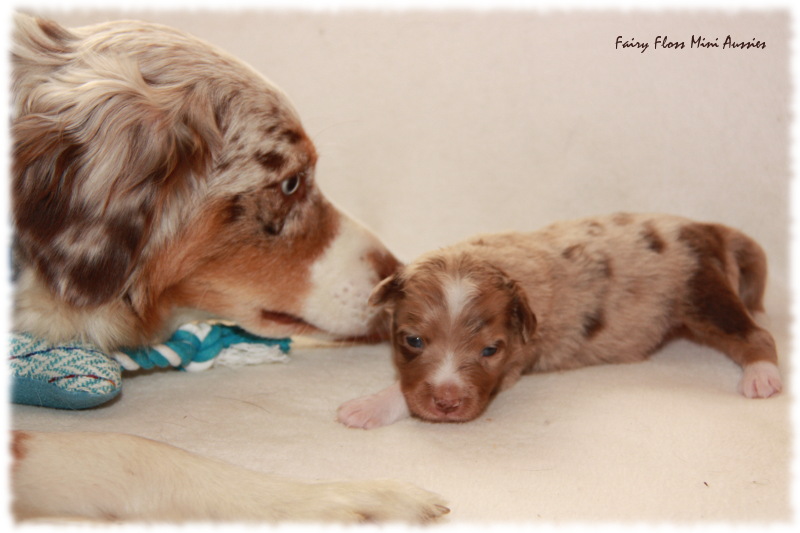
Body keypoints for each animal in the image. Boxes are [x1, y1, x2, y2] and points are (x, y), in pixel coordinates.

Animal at [338, 212, 780, 428]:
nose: (447, 403)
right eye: (413, 341)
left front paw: (367, 406)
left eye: (489, 350)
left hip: (702, 292)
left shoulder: (516, 362)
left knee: (756, 334)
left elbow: (402, 391)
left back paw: (761, 376)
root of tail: (704, 227)